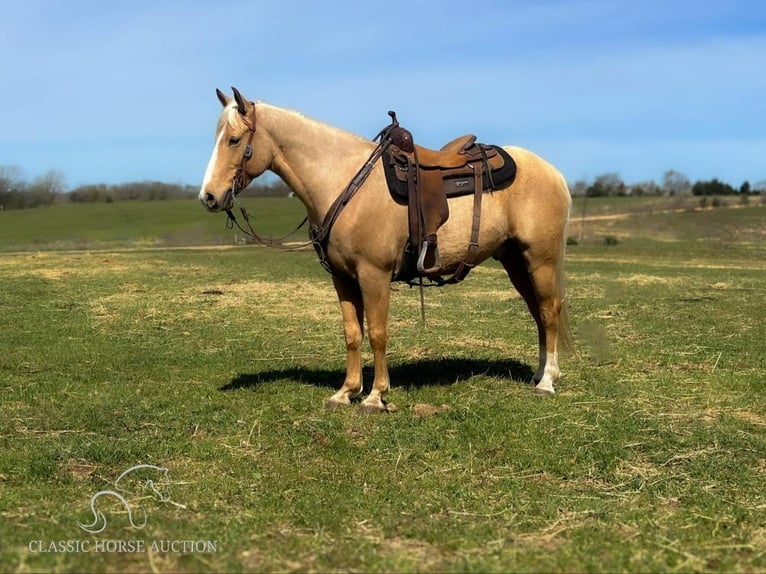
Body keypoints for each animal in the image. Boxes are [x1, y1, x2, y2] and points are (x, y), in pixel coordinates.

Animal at [201, 86, 572, 414]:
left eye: (234, 140)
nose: (208, 197)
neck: (342, 181)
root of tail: (553, 172)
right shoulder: (343, 279)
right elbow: (352, 334)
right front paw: (346, 392)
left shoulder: (373, 276)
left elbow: (378, 334)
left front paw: (375, 396)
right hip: (515, 260)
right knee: (537, 311)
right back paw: (539, 373)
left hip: (540, 259)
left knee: (548, 310)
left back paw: (547, 381)